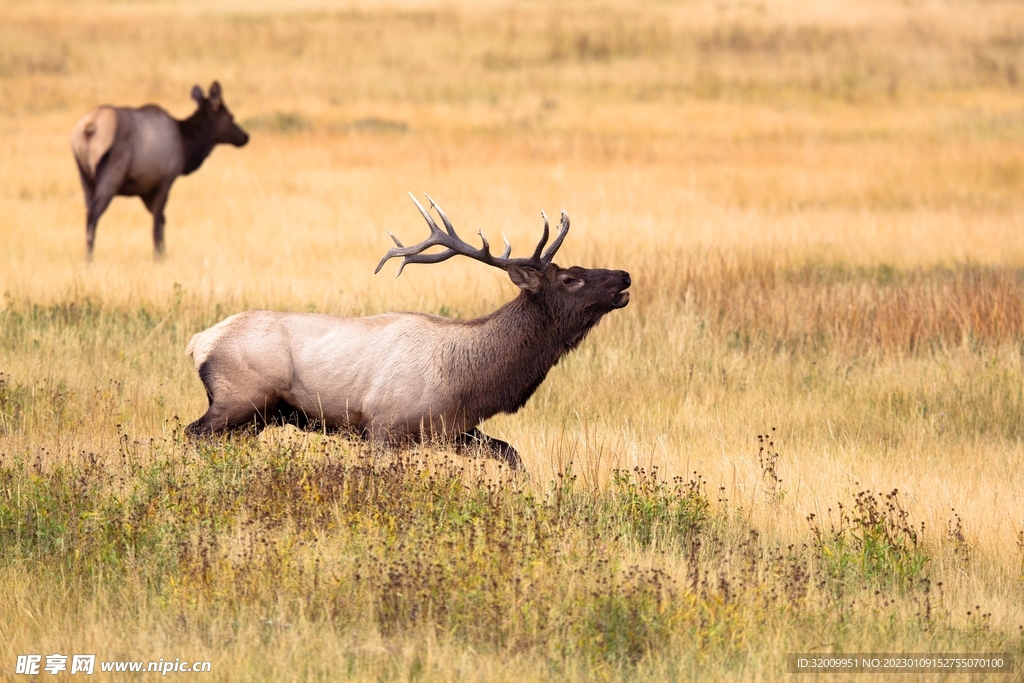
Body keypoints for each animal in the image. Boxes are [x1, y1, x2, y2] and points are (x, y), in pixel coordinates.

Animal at [71, 81, 249, 261]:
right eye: (231, 116)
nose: (245, 137)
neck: (186, 146)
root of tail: (90, 128)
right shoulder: (165, 180)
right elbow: (158, 221)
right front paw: (158, 256)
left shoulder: (145, 189)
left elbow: (161, 219)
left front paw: (162, 253)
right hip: (111, 176)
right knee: (93, 217)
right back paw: (90, 259)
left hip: (84, 178)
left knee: (88, 213)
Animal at [184, 193, 631, 470]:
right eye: (571, 279)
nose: (624, 276)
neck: (469, 381)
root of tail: (198, 343)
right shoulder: (384, 426)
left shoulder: (455, 431)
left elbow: (512, 456)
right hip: (239, 398)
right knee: (192, 433)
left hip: (256, 418)